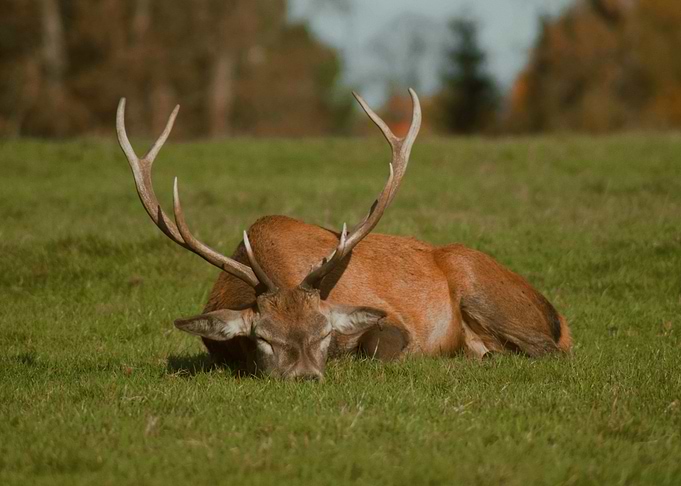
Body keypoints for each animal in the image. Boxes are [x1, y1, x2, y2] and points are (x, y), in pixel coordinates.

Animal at [116, 89, 572, 381]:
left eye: (324, 333)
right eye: (263, 338)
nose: (304, 376)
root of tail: (558, 317)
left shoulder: (390, 322)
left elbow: (375, 350)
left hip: (481, 287)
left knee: (547, 351)